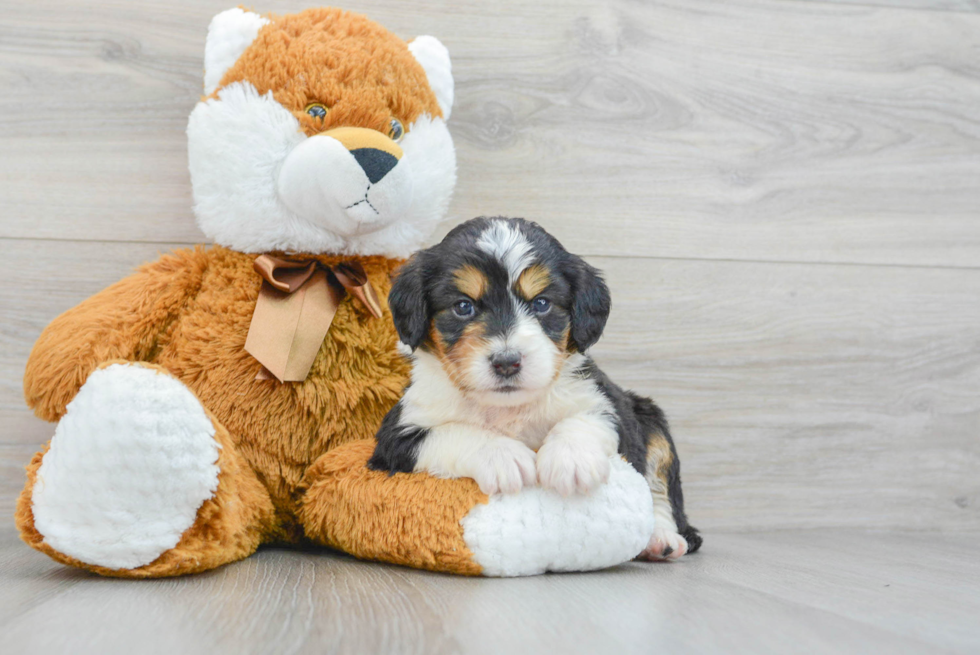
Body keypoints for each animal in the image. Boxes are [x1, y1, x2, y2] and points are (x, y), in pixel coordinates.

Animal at [366, 215, 696, 560]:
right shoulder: (396, 434)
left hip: (651, 419)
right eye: (463, 306)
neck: (508, 408)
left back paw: (661, 538)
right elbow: (455, 432)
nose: (507, 362)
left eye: (541, 303)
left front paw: (570, 459)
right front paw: (503, 456)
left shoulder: (607, 403)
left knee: (660, 491)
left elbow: (584, 420)